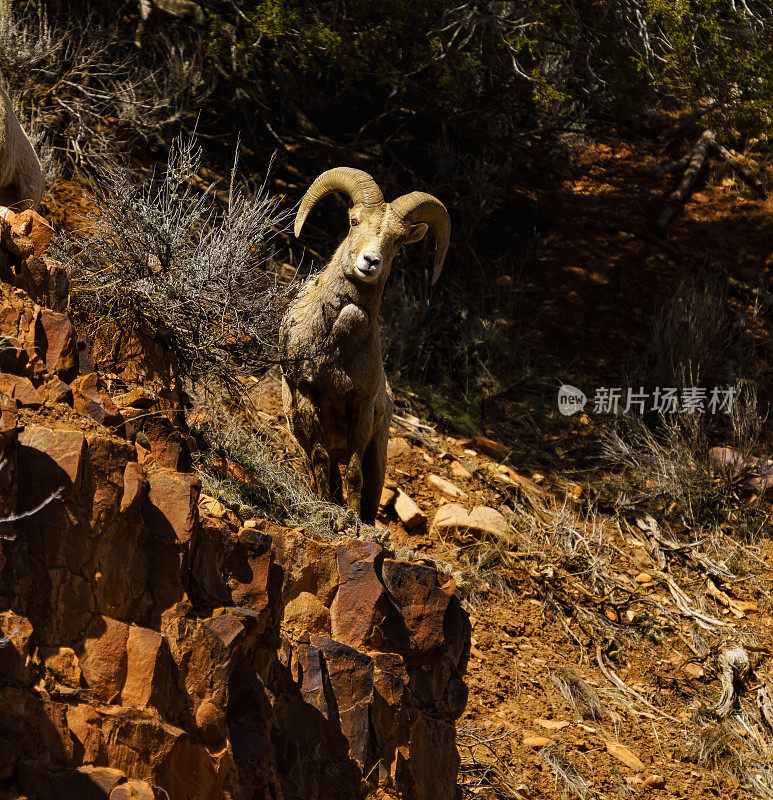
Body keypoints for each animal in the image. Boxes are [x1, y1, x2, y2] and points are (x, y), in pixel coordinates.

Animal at [280, 169, 450, 524]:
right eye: (354, 221)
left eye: (397, 240)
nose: (370, 261)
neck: (335, 345)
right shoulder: (305, 393)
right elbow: (321, 461)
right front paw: (326, 510)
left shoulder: (361, 406)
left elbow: (354, 475)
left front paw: (353, 520)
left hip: (378, 457)